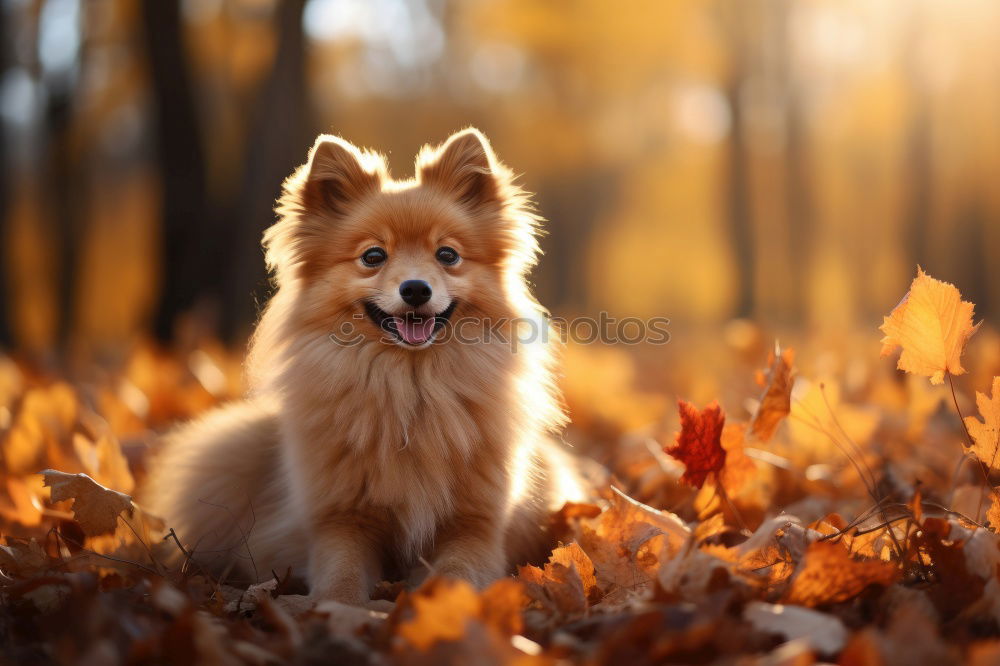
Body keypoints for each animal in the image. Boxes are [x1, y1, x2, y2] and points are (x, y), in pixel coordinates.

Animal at [145, 127, 588, 604]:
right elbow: (340, 577)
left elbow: (459, 572)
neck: (412, 387)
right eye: (373, 257)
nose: (416, 288)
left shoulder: (477, 525)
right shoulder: (341, 522)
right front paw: (340, 609)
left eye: (447, 255)